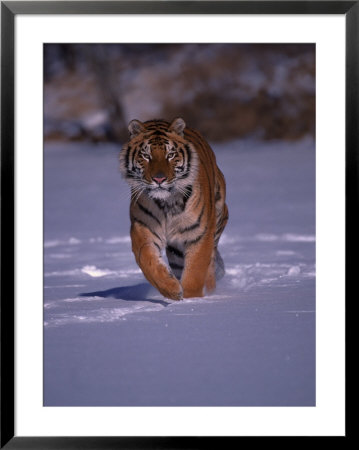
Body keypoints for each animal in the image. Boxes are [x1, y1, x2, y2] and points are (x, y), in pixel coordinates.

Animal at [119, 117, 229, 298]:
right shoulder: (143, 230)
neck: (167, 203)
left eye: (170, 155)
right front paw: (172, 289)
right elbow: (149, 262)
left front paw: (192, 299)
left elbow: (196, 271)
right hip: (176, 252)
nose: (159, 179)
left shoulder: (200, 233)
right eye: (146, 156)